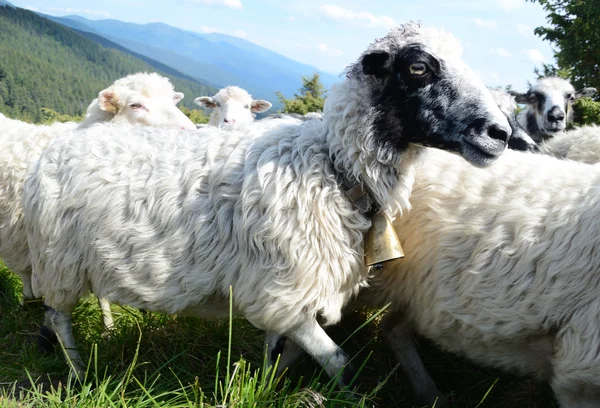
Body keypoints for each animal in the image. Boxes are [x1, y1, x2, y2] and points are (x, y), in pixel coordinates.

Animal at [23, 23, 510, 384]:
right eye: (418, 66)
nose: (500, 133)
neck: (333, 169)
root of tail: (61, 142)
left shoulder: (290, 295)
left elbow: (280, 357)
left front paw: (267, 385)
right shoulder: (284, 292)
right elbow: (340, 363)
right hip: (59, 259)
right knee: (58, 315)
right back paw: (76, 370)